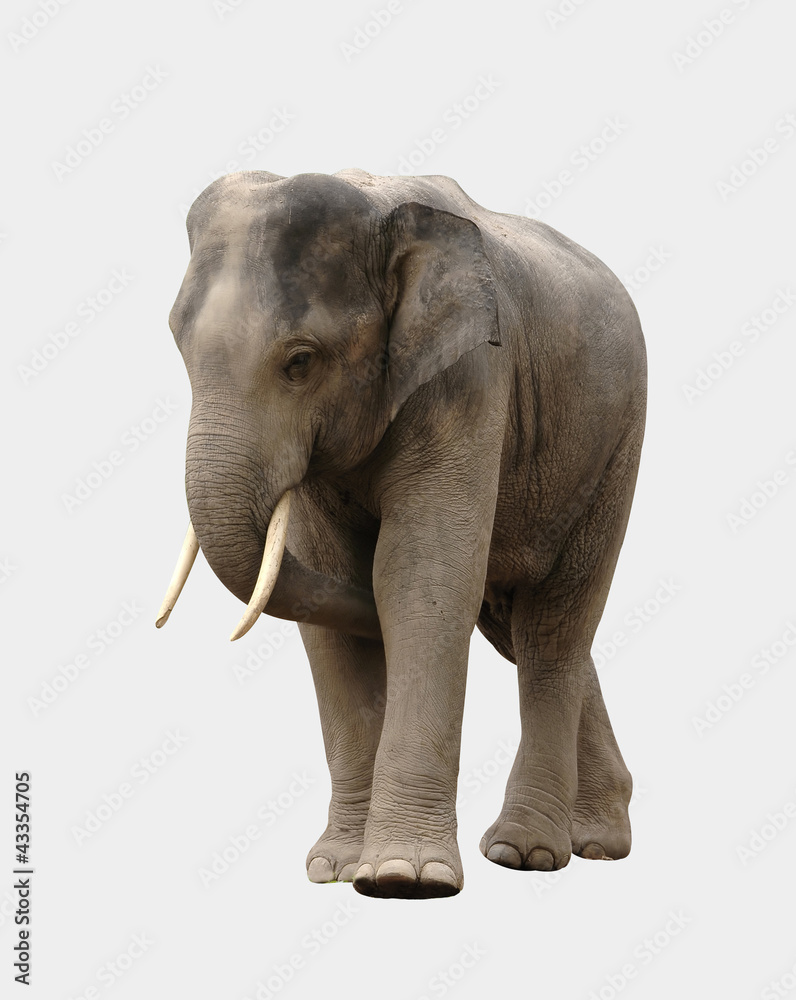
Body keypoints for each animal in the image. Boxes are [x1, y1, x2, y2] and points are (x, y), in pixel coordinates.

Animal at [157, 167, 646, 899]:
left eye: (300, 361)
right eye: (179, 345)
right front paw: (335, 869)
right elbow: (331, 597)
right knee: (522, 630)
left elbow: (418, 579)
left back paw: (526, 852)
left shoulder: (469, 378)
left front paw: (403, 879)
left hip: (615, 443)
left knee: (553, 627)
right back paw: (597, 840)